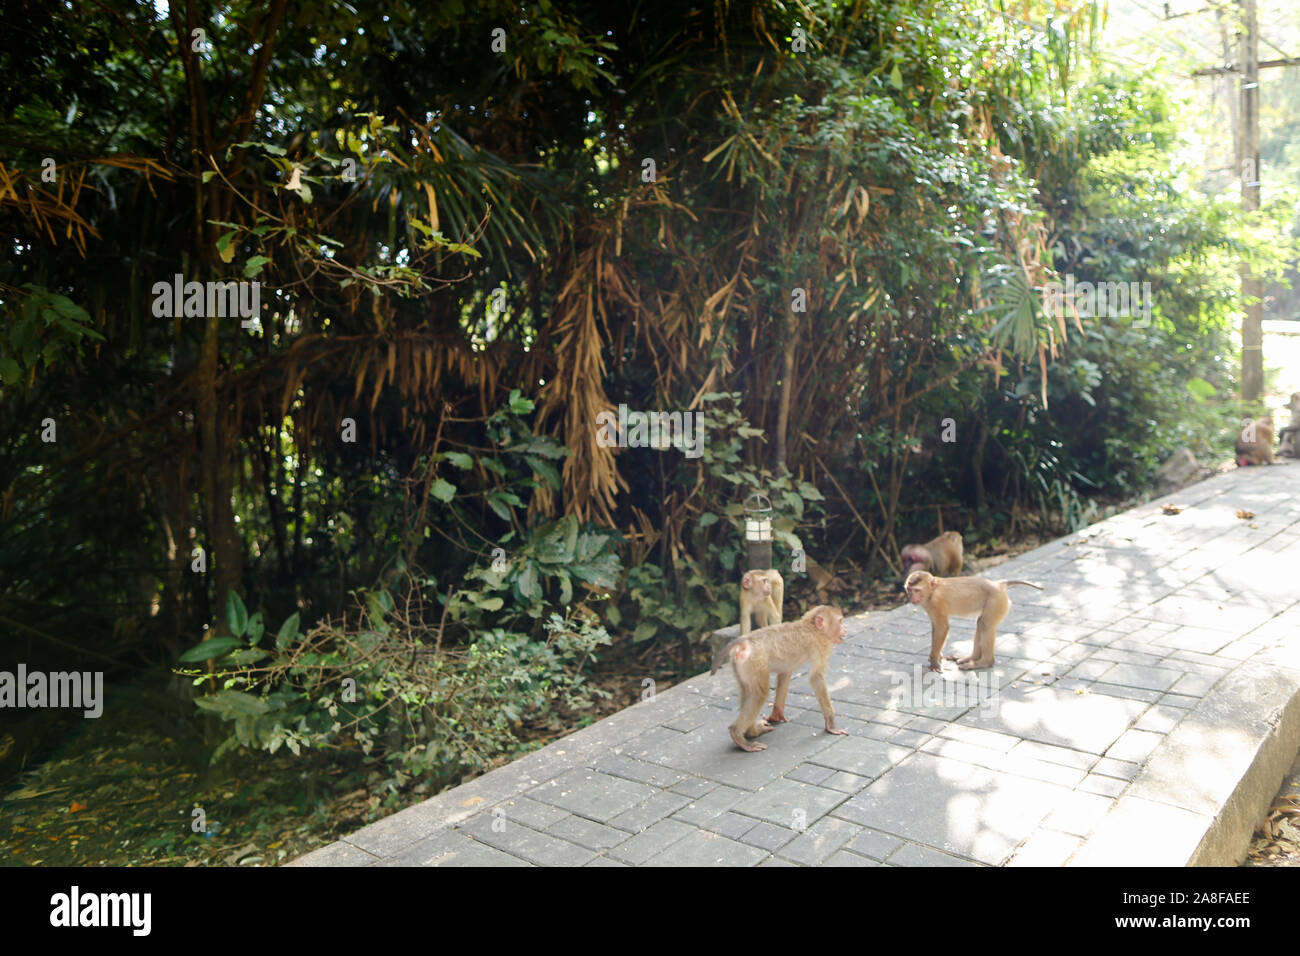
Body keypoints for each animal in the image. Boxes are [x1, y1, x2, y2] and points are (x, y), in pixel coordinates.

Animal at [712, 606, 852, 754]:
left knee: (747, 691)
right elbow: (816, 677)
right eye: (840, 621)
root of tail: (745, 641)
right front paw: (831, 725)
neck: (811, 626)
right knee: (759, 694)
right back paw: (738, 735)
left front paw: (776, 715)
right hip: (755, 662)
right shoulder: (820, 644)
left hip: (741, 666)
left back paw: (751, 732)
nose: (845, 628)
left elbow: (785, 673)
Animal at [904, 572, 1045, 676]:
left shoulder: (935, 602)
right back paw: (972, 657)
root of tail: (998, 584)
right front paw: (937, 656)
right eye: (909, 590)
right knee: (980, 624)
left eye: (916, 590)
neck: (932, 591)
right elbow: (936, 627)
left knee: (985, 624)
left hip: (997, 601)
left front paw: (934, 661)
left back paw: (985, 662)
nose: (911, 597)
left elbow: (942, 628)